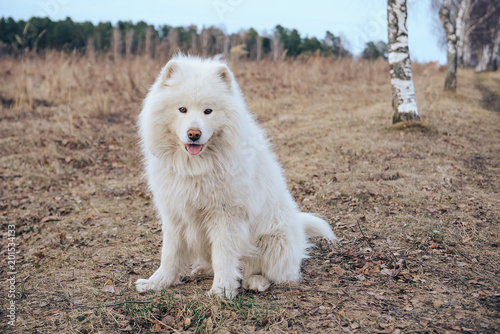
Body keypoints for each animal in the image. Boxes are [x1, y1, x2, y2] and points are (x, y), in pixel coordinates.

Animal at [134, 55, 336, 298]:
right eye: (182, 109)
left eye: (208, 111)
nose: (194, 134)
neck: (196, 167)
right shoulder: (175, 213)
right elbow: (169, 254)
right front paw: (157, 283)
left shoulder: (226, 216)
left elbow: (224, 256)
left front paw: (221, 290)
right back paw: (202, 270)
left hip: (274, 241)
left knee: (275, 274)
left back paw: (255, 281)